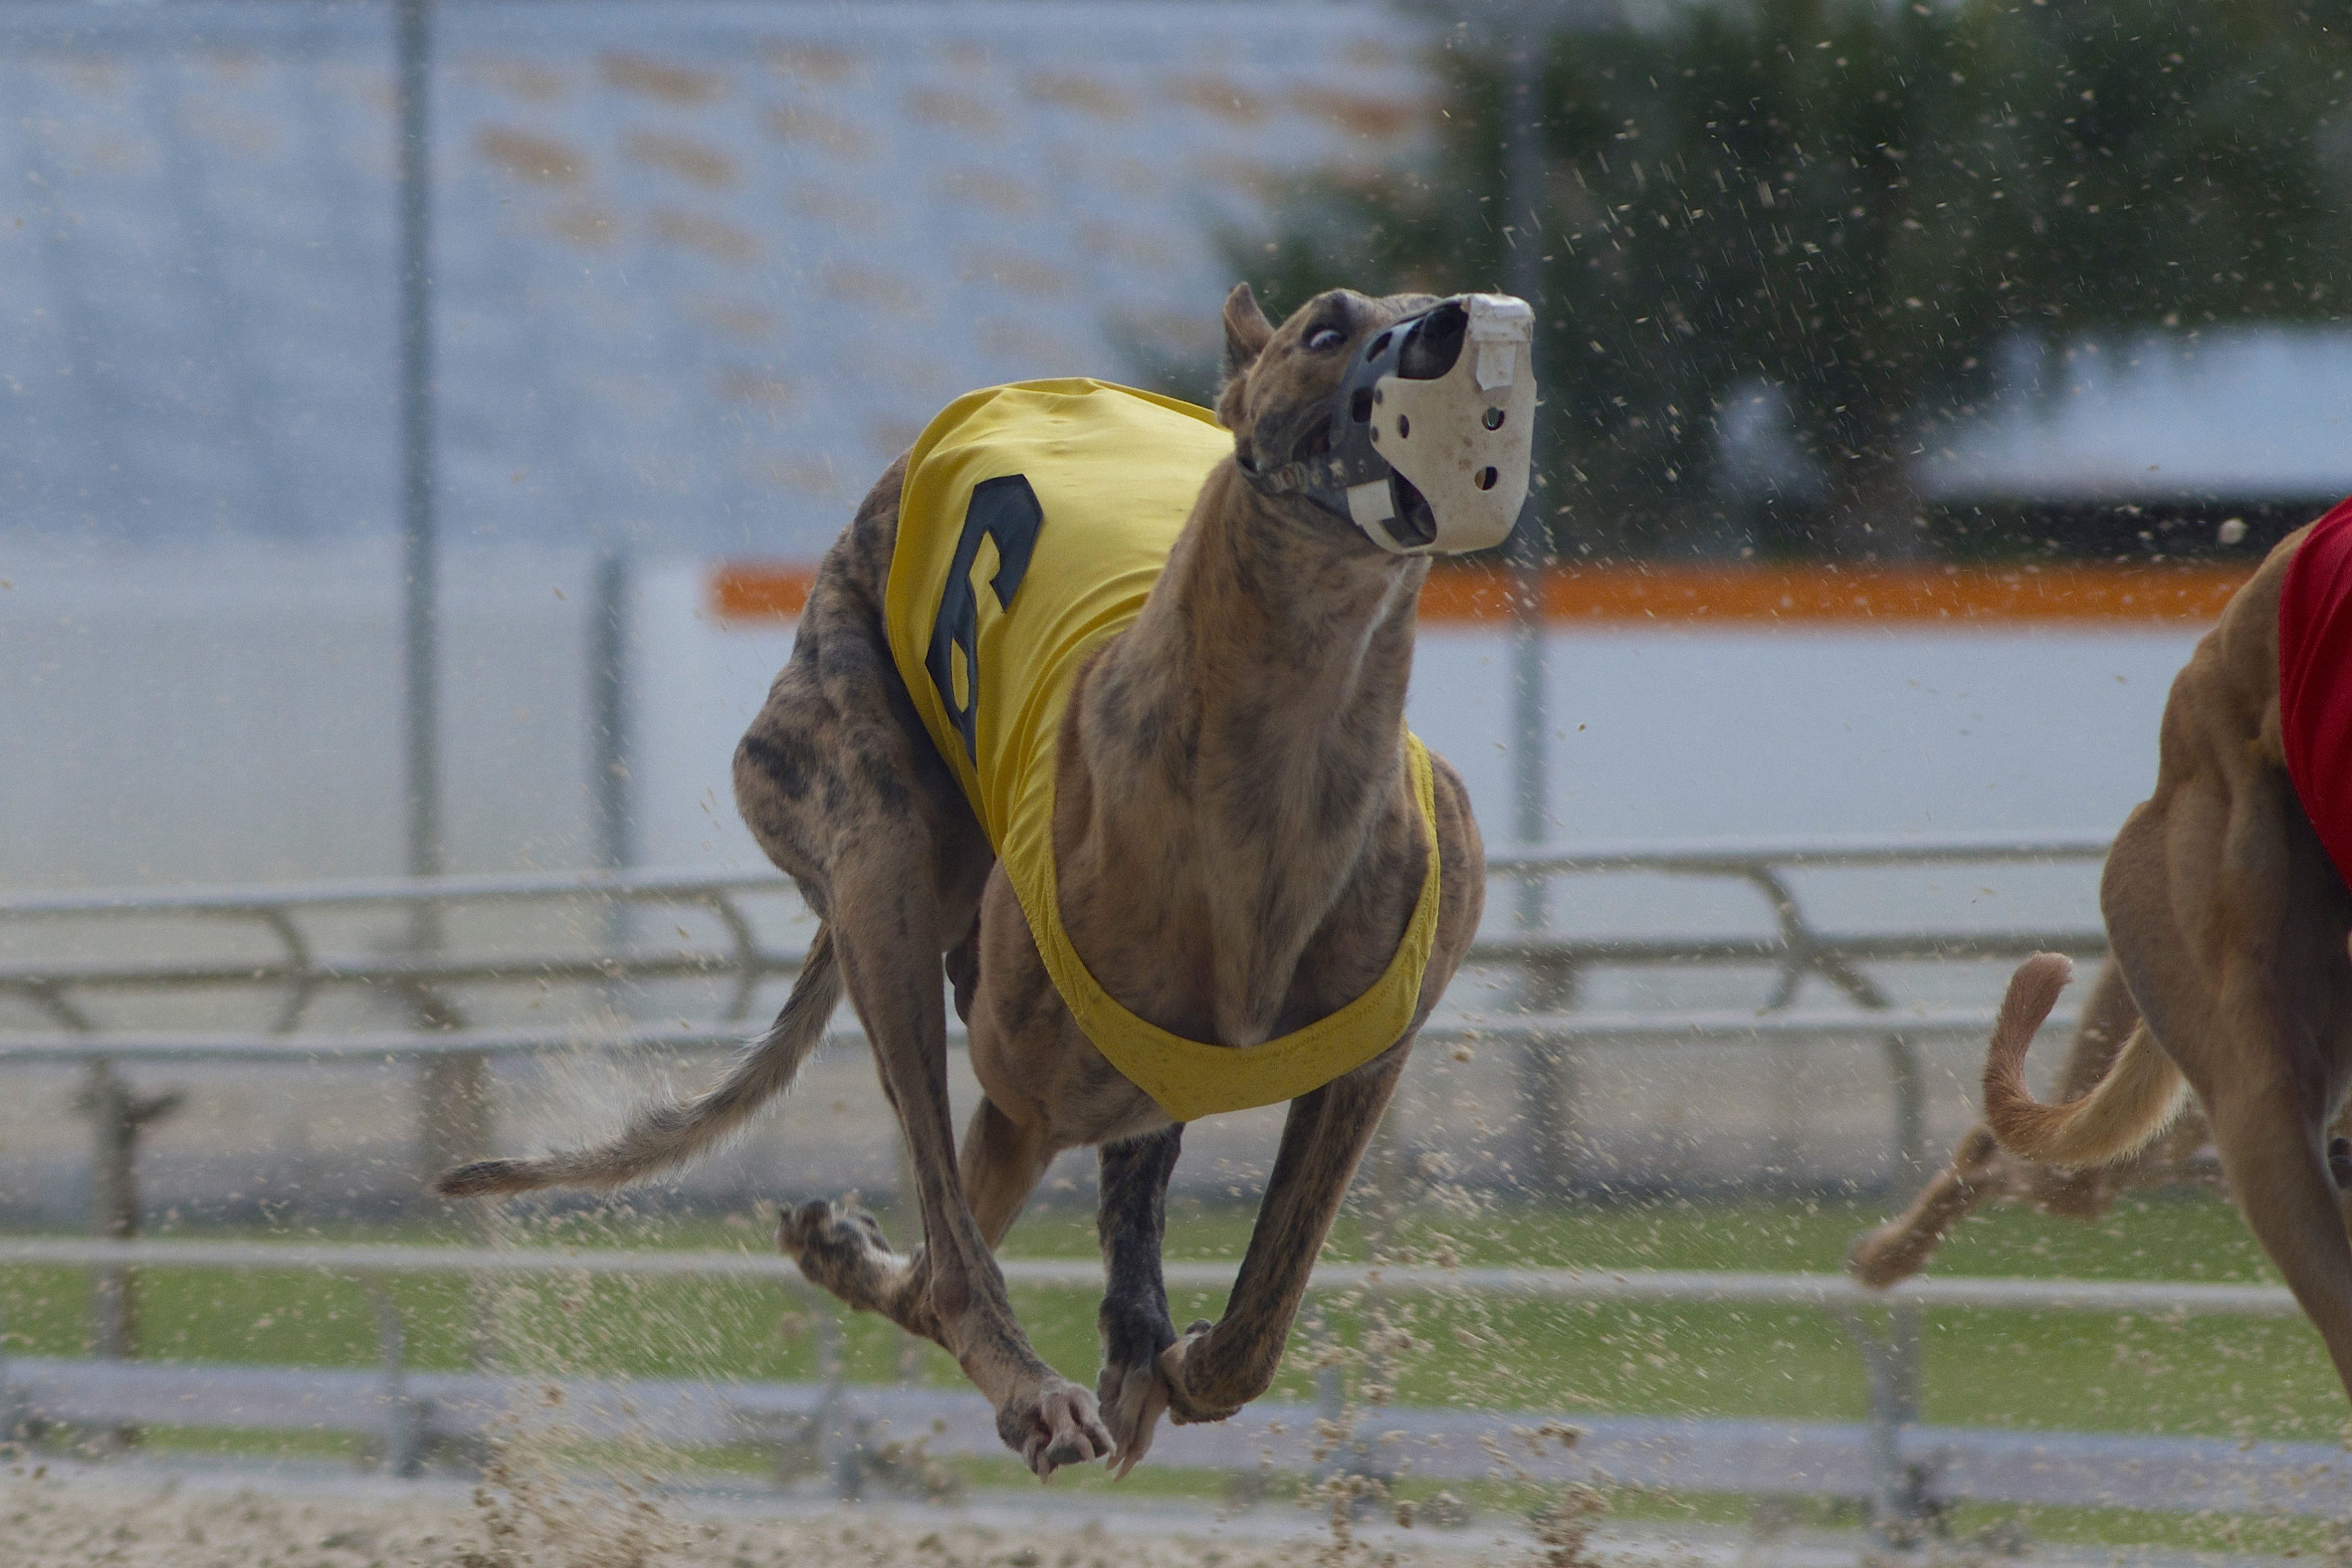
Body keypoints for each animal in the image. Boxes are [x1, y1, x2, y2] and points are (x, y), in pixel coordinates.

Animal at [437, 286, 1486, 1485]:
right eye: (1325, 328)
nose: (1450, 330)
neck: (1281, 780)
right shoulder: (1025, 1074)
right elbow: (967, 1237)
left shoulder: (1365, 1059)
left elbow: (1259, 1313)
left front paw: (1172, 1350)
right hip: (873, 853)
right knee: (946, 1249)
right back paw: (1018, 1372)